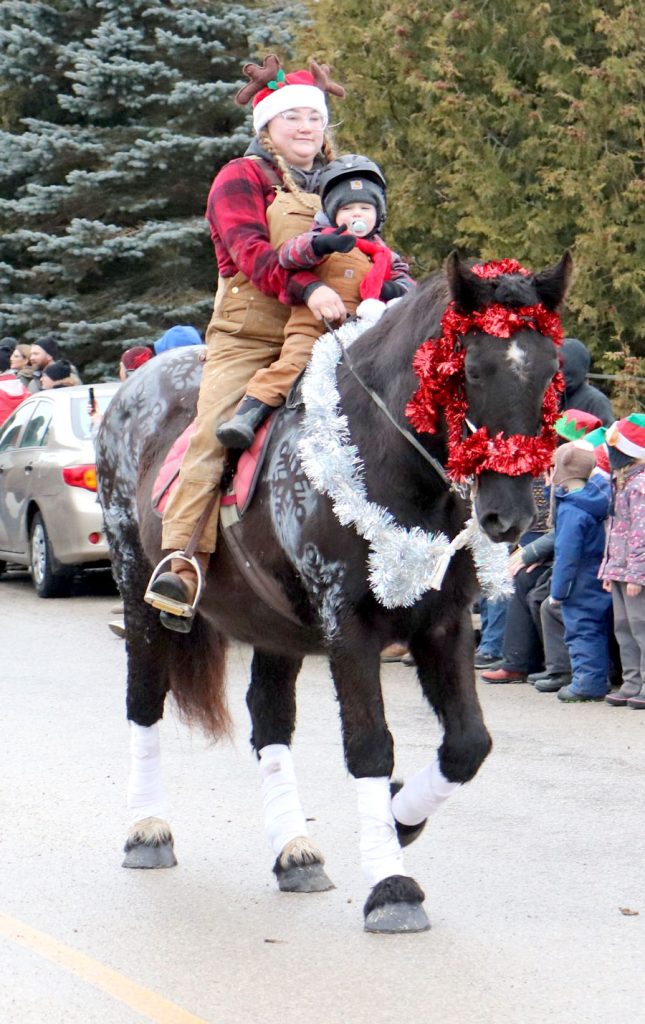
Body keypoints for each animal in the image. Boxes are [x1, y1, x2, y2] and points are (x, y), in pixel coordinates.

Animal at [96, 252, 571, 933]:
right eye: (473, 369)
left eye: (552, 372)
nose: (509, 516)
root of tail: (134, 383)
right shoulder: (350, 627)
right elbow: (370, 745)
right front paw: (393, 886)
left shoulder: (444, 624)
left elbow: (468, 744)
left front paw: (402, 818)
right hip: (139, 589)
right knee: (144, 699)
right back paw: (147, 831)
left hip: (272, 625)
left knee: (269, 720)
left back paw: (295, 852)